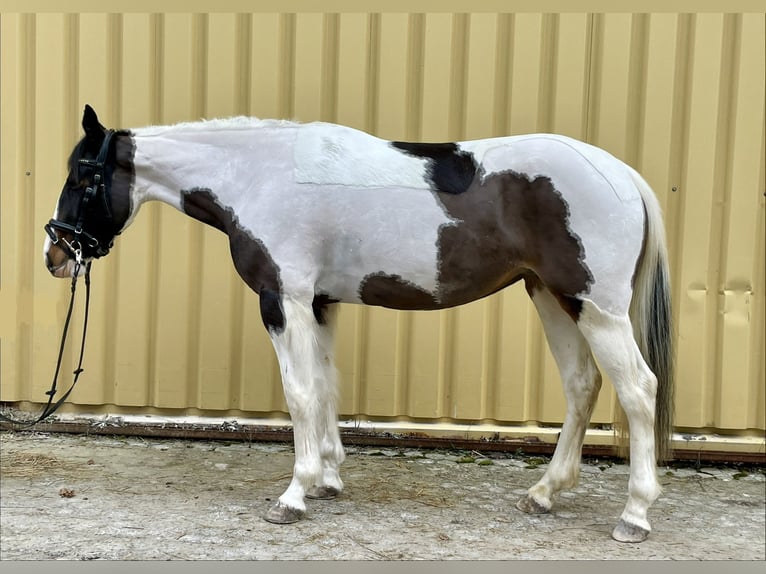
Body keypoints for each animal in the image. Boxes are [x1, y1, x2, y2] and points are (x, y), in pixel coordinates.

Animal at [44, 105, 674, 543]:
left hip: (595, 307)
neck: (259, 175)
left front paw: (293, 496)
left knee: (638, 390)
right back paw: (544, 493)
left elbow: (299, 394)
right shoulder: (320, 303)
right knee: (582, 385)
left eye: (80, 178)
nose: (55, 256)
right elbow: (326, 389)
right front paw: (327, 479)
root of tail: (622, 174)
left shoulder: (284, 301)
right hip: (552, 297)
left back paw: (635, 515)